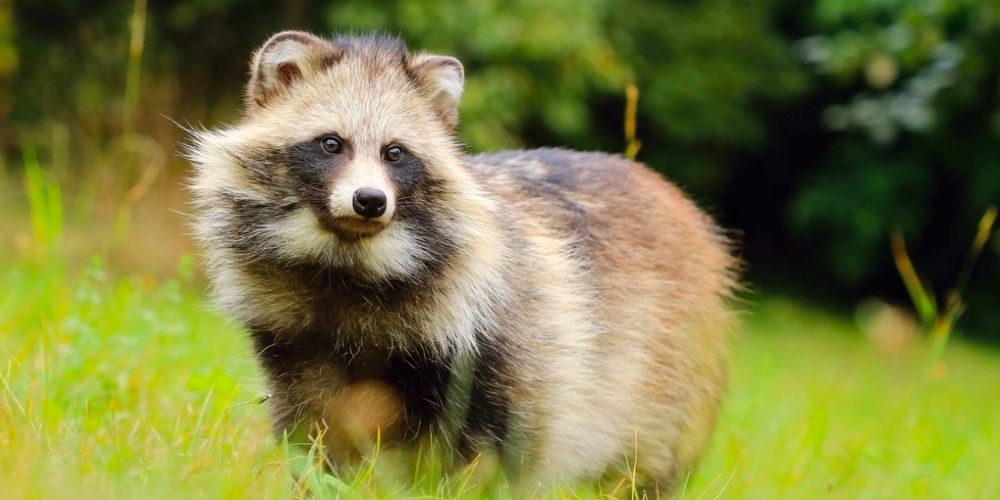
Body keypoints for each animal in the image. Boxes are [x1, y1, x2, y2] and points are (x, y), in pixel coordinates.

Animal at [188, 31, 737, 493]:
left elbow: (499, 447)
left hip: (668, 372)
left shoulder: (502, 336)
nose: (369, 201)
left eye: (395, 153)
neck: (349, 264)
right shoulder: (295, 337)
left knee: (645, 461)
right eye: (331, 143)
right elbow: (313, 426)